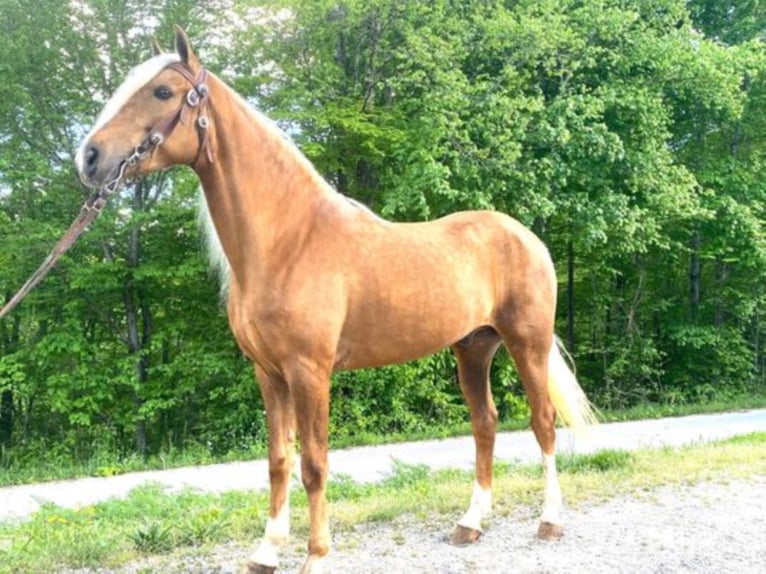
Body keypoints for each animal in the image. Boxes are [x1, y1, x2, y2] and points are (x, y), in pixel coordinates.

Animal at [75, 28, 596, 574]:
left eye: (162, 92)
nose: (89, 158)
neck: (289, 242)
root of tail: (526, 236)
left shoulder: (309, 371)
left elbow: (314, 463)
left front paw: (318, 555)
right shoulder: (269, 373)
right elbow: (278, 460)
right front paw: (267, 550)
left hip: (527, 342)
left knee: (543, 422)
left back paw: (549, 519)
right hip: (473, 348)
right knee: (486, 425)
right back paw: (470, 523)